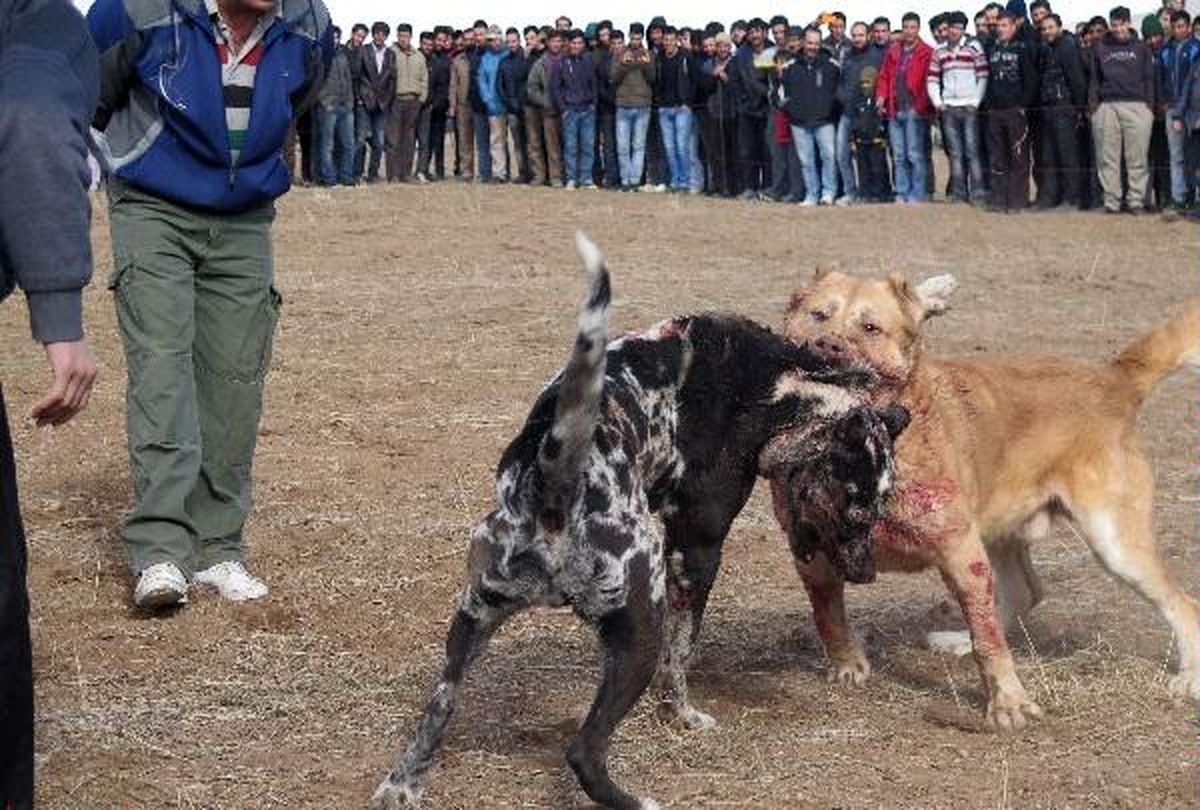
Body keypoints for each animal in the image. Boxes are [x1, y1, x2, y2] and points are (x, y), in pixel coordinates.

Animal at [369, 234, 902, 810]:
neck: (772, 383)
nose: (866, 574)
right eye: (855, 507)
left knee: (437, 711)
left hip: (471, 623)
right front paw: (682, 714)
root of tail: (554, 490)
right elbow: (680, 656)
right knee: (583, 751)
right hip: (638, 631)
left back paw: (403, 783)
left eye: (881, 507)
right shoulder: (696, 552)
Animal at [777, 268, 1200, 729]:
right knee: (1025, 592)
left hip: (1114, 543)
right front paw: (847, 665)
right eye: (818, 315)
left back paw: (1189, 679)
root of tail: (1112, 380)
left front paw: (1008, 704)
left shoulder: (959, 550)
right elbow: (828, 615)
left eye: (870, 328)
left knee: (1184, 604)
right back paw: (957, 640)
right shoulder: (810, 551)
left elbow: (989, 642)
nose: (827, 346)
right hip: (999, 531)